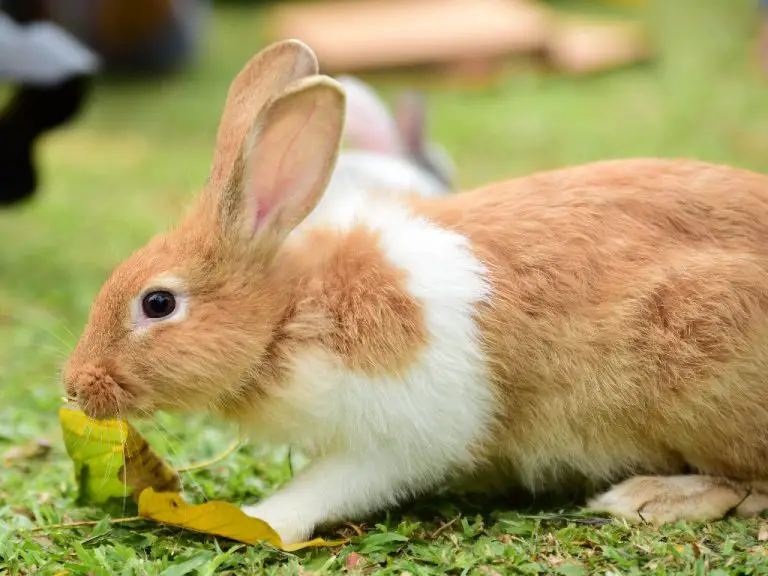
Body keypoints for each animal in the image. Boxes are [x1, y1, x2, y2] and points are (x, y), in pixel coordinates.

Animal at [61, 38, 768, 544]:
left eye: (158, 303)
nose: (74, 385)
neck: (288, 314)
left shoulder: (397, 437)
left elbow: (328, 486)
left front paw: (260, 518)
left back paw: (648, 498)